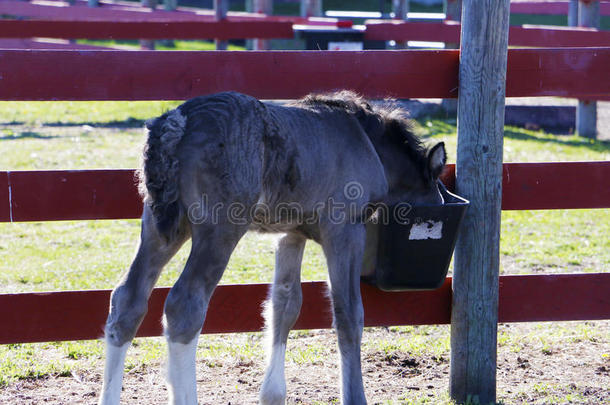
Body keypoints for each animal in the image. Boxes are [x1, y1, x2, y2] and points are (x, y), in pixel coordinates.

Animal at [97, 90, 444, 402]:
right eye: (430, 218)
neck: (366, 141)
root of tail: (178, 121)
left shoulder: (291, 234)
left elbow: (284, 305)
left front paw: (273, 395)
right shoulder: (345, 230)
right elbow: (349, 314)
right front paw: (355, 396)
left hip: (160, 228)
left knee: (128, 299)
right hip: (219, 230)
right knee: (185, 306)